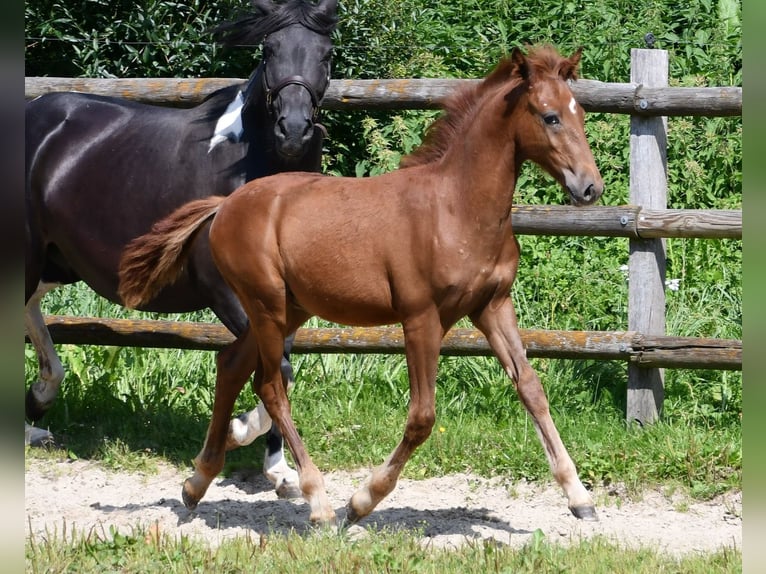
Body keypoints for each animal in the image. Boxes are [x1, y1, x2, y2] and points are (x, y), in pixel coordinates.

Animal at [25, 0, 338, 500]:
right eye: (268, 49)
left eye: (327, 53)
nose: (293, 131)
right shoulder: (225, 293)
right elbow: (278, 370)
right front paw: (238, 431)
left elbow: (280, 368)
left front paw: (280, 471)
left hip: (54, 260)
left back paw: (39, 401)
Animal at [118, 46, 608, 528]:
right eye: (550, 117)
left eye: (580, 112)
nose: (590, 187)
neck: (456, 208)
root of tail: (226, 204)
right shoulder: (421, 319)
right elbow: (422, 417)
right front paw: (362, 501)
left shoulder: (492, 306)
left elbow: (531, 389)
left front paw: (580, 498)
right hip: (267, 305)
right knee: (270, 386)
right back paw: (318, 503)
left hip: (288, 309)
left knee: (231, 365)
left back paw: (198, 481)